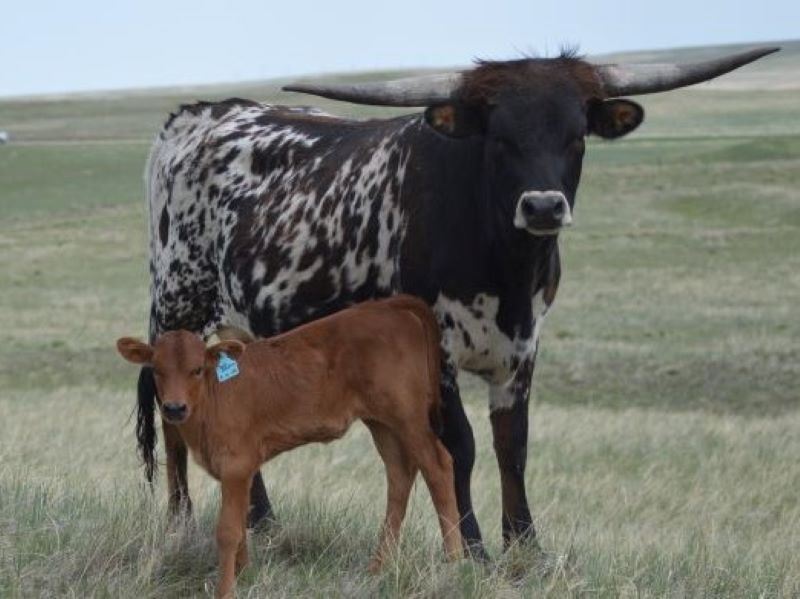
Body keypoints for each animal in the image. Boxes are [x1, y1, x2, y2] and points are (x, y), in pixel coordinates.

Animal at [118, 296, 462, 598]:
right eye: (156, 369)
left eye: (197, 369)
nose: (175, 408)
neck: (213, 398)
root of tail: (388, 305)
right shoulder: (240, 470)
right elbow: (241, 523)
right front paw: (245, 575)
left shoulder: (236, 465)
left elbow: (228, 530)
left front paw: (225, 590)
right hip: (382, 423)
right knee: (400, 474)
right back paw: (378, 567)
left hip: (408, 417)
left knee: (438, 466)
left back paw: (455, 563)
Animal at [137, 47, 778, 559]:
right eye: (500, 138)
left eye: (576, 135)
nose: (543, 206)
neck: (504, 266)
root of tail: (198, 113)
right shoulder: (436, 350)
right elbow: (459, 447)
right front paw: (472, 550)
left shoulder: (524, 346)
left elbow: (512, 445)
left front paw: (526, 548)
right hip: (178, 303)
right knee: (174, 416)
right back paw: (180, 521)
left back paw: (262, 523)